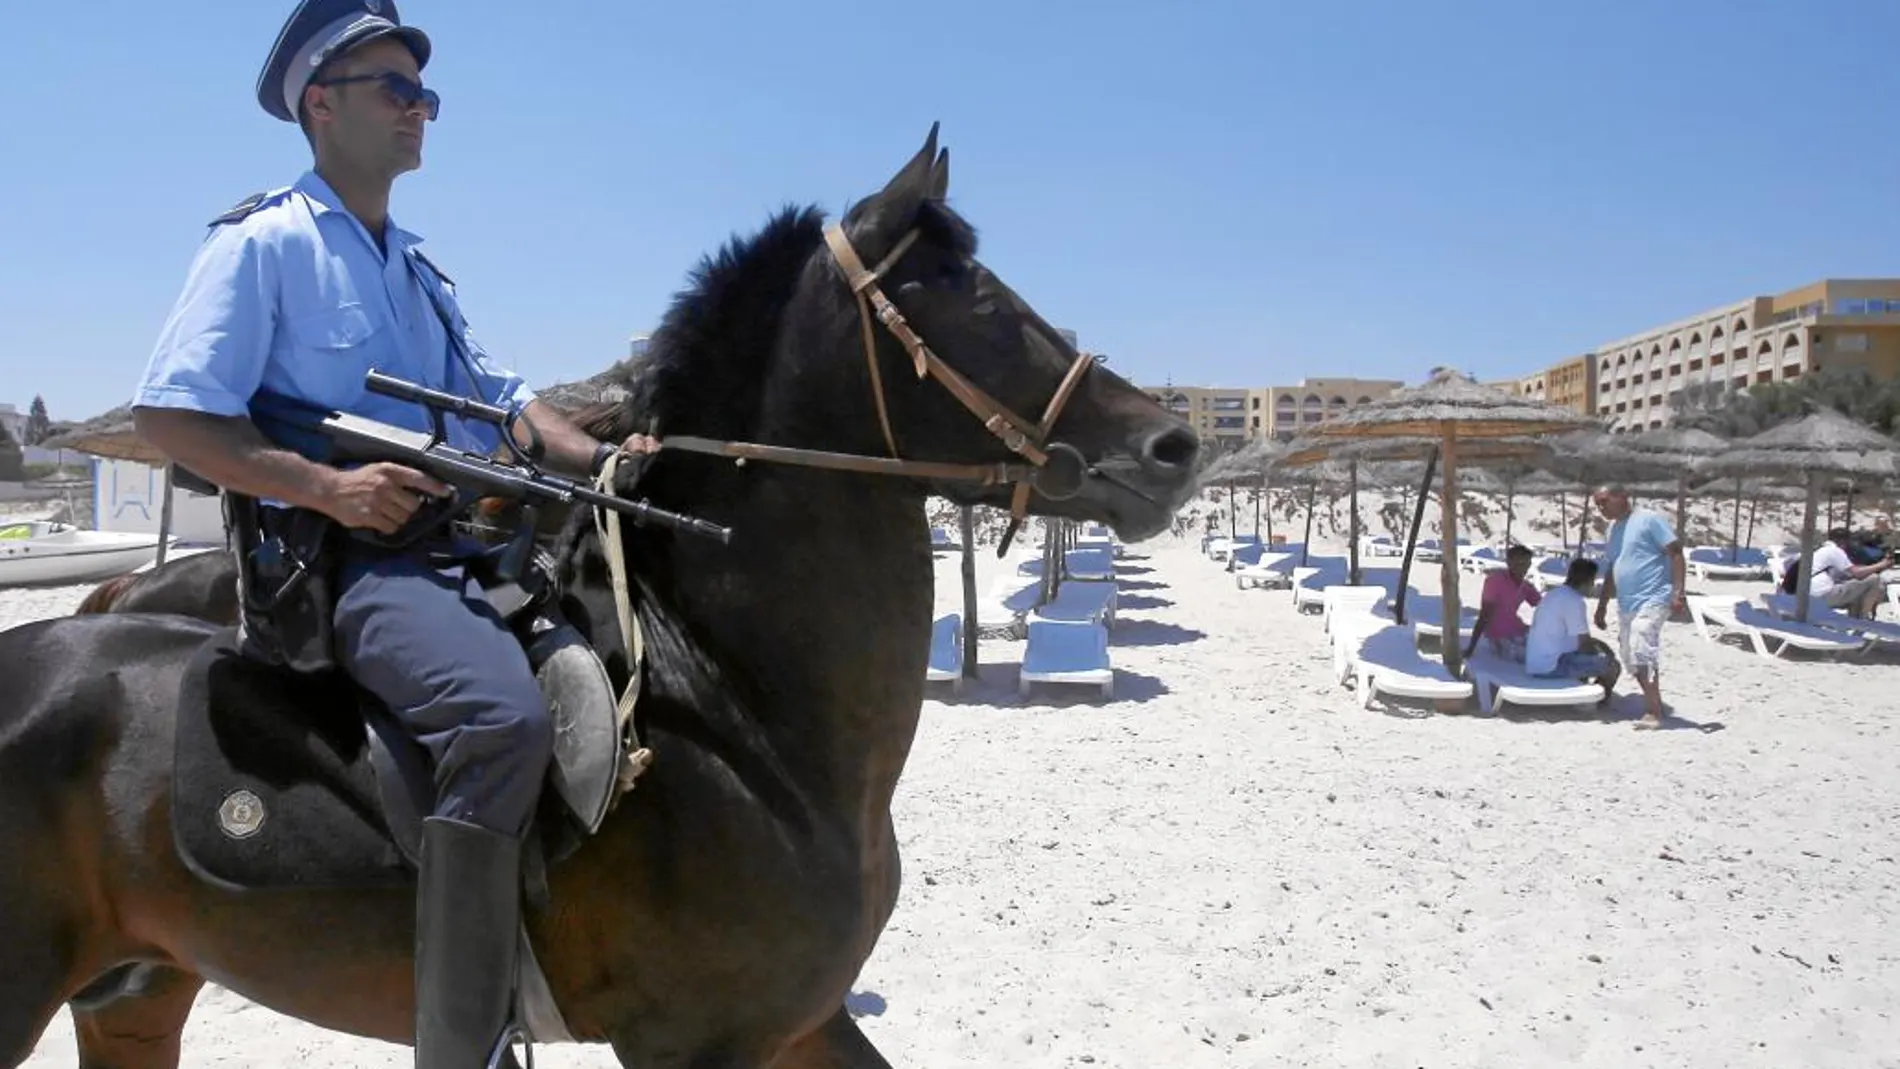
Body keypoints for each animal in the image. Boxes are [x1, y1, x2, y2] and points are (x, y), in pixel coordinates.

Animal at [0, 127, 1193, 1069]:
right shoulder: (694, 1045)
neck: (732, 706)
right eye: (971, 298)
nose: (1172, 445)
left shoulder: (801, 1023)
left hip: (137, 991)